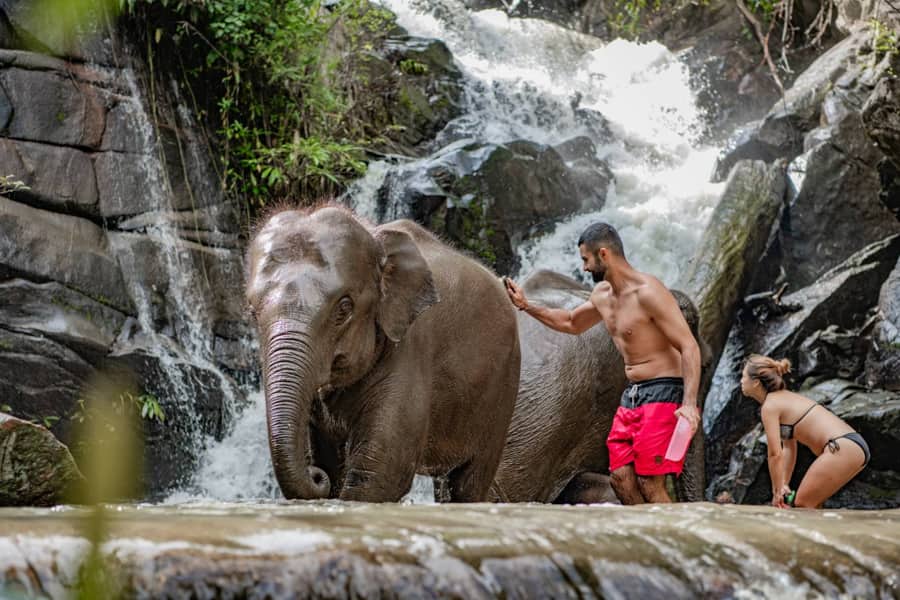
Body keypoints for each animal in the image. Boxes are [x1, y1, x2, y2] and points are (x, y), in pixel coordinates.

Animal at [245, 204, 521, 502]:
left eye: (344, 307)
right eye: (252, 311)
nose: (317, 477)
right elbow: (332, 460)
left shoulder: (411, 347)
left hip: (502, 389)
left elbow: (380, 473)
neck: (375, 237)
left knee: (469, 483)